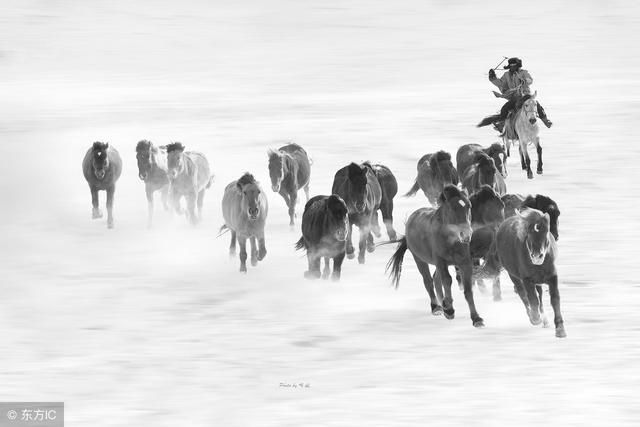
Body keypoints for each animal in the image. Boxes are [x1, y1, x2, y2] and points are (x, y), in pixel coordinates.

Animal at [496, 209, 564, 340]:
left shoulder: (553, 277)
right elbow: (532, 299)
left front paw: (560, 329)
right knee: (523, 294)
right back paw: (533, 317)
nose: (537, 256)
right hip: (514, 276)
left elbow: (554, 299)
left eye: (546, 232)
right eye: (528, 234)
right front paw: (535, 318)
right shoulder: (526, 279)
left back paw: (544, 320)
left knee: (539, 295)